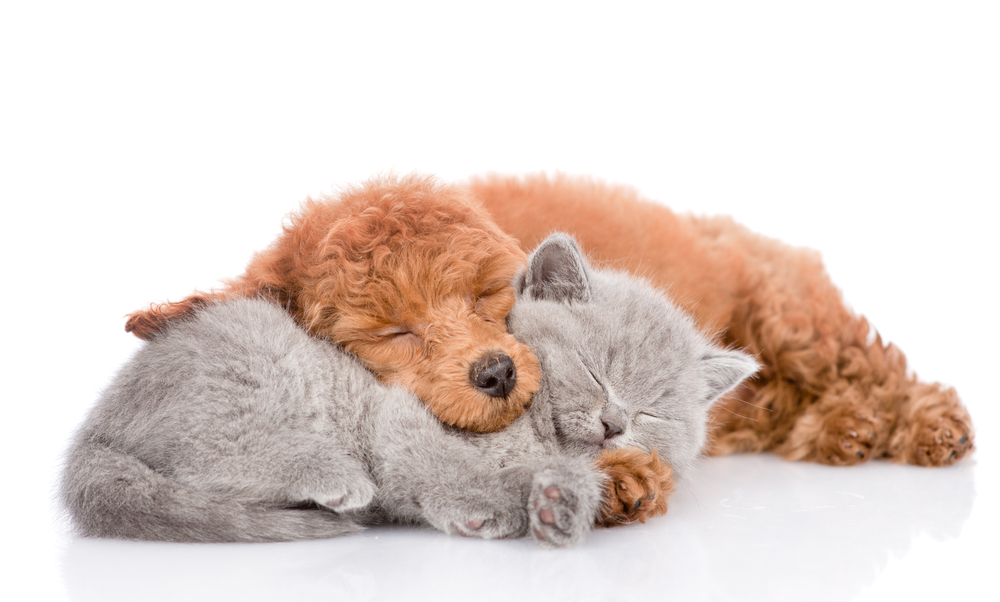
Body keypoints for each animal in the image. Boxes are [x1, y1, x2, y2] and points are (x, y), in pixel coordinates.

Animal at [60, 232, 756, 548]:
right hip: (256, 374)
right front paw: (488, 504)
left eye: (654, 411)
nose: (614, 422)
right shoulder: (398, 413)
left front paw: (559, 504)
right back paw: (334, 478)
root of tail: (95, 426)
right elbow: (437, 463)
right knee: (212, 457)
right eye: (593, 369)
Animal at [470, 171, 976, 466]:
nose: (614, 425)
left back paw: (933, 428)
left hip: (793, 324)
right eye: (593, 374)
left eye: (651, 410)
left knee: (878, 368)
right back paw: (847, 429)